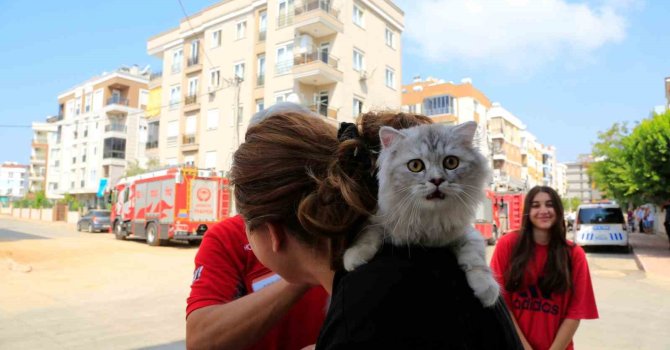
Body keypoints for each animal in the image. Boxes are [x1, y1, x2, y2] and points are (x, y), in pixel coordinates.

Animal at [344, 120, 502, 306]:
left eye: (451, 162)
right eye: (415, 165)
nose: (437, 180)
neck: (428, 218)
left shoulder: (465, 232)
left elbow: (476, 257)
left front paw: (487, 288)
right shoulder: (375, 220)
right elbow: (367, 238)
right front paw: (354, 258)